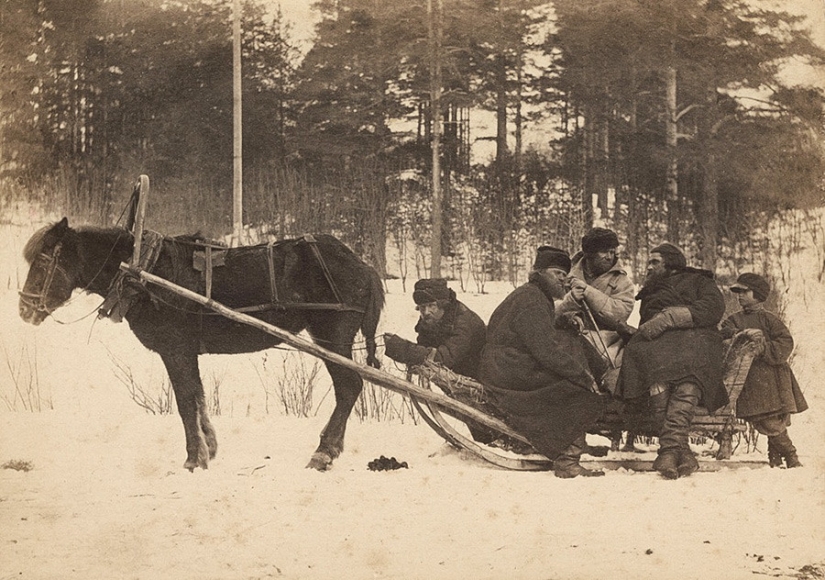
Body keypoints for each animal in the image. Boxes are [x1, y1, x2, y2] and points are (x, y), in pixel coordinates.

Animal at [18, 218, 386, 472]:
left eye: (44, 262)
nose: (24, 309)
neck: (144, 272)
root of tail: (365, 267)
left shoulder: (175, 349)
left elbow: (184, 403)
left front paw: (194, 459)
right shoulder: (187, 352)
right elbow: (197, 397)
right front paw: (209, 447)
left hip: (332, 336)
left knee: (349, 387)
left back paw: (323, 452)